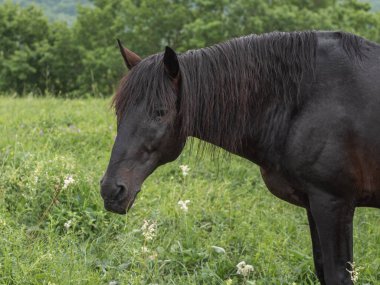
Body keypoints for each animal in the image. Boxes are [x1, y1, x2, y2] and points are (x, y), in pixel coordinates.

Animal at [101, 31, 380, 284]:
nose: (111, 190)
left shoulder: (333, 203)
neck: (306, 101)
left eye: (159, 112)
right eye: (119, 111)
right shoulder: (314, 204)